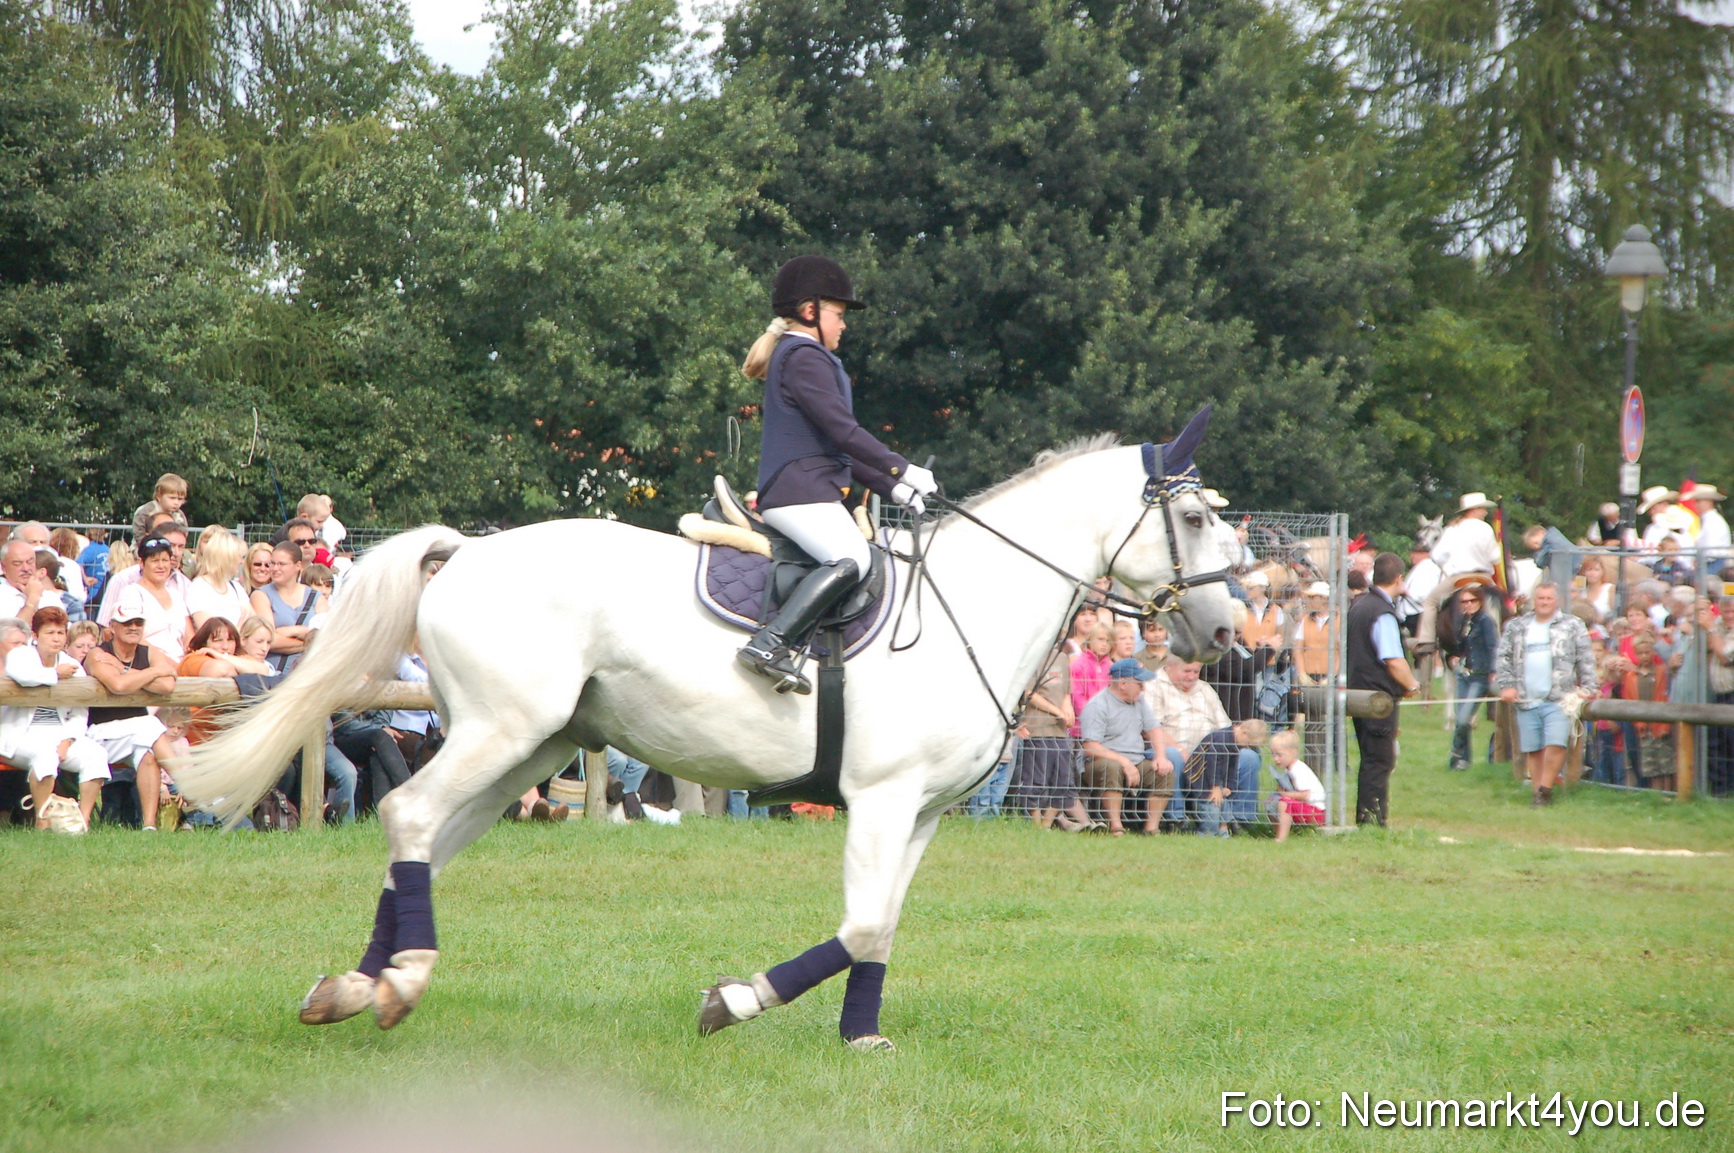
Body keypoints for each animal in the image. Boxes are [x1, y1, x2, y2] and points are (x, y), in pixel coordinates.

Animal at [176, 413, 1237, 1050]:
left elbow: (883, 925)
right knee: (406, 817)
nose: (1226, 634)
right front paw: (734, 1000)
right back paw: (396, 983)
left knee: (423, 838)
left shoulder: (924, 811)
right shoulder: (882, 798)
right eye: (1191, 515)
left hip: (529, 747)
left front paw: (860, 1036)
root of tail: (468, 549)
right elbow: (859, 923)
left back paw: (358, 988)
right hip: (499, 734)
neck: (971, 601)